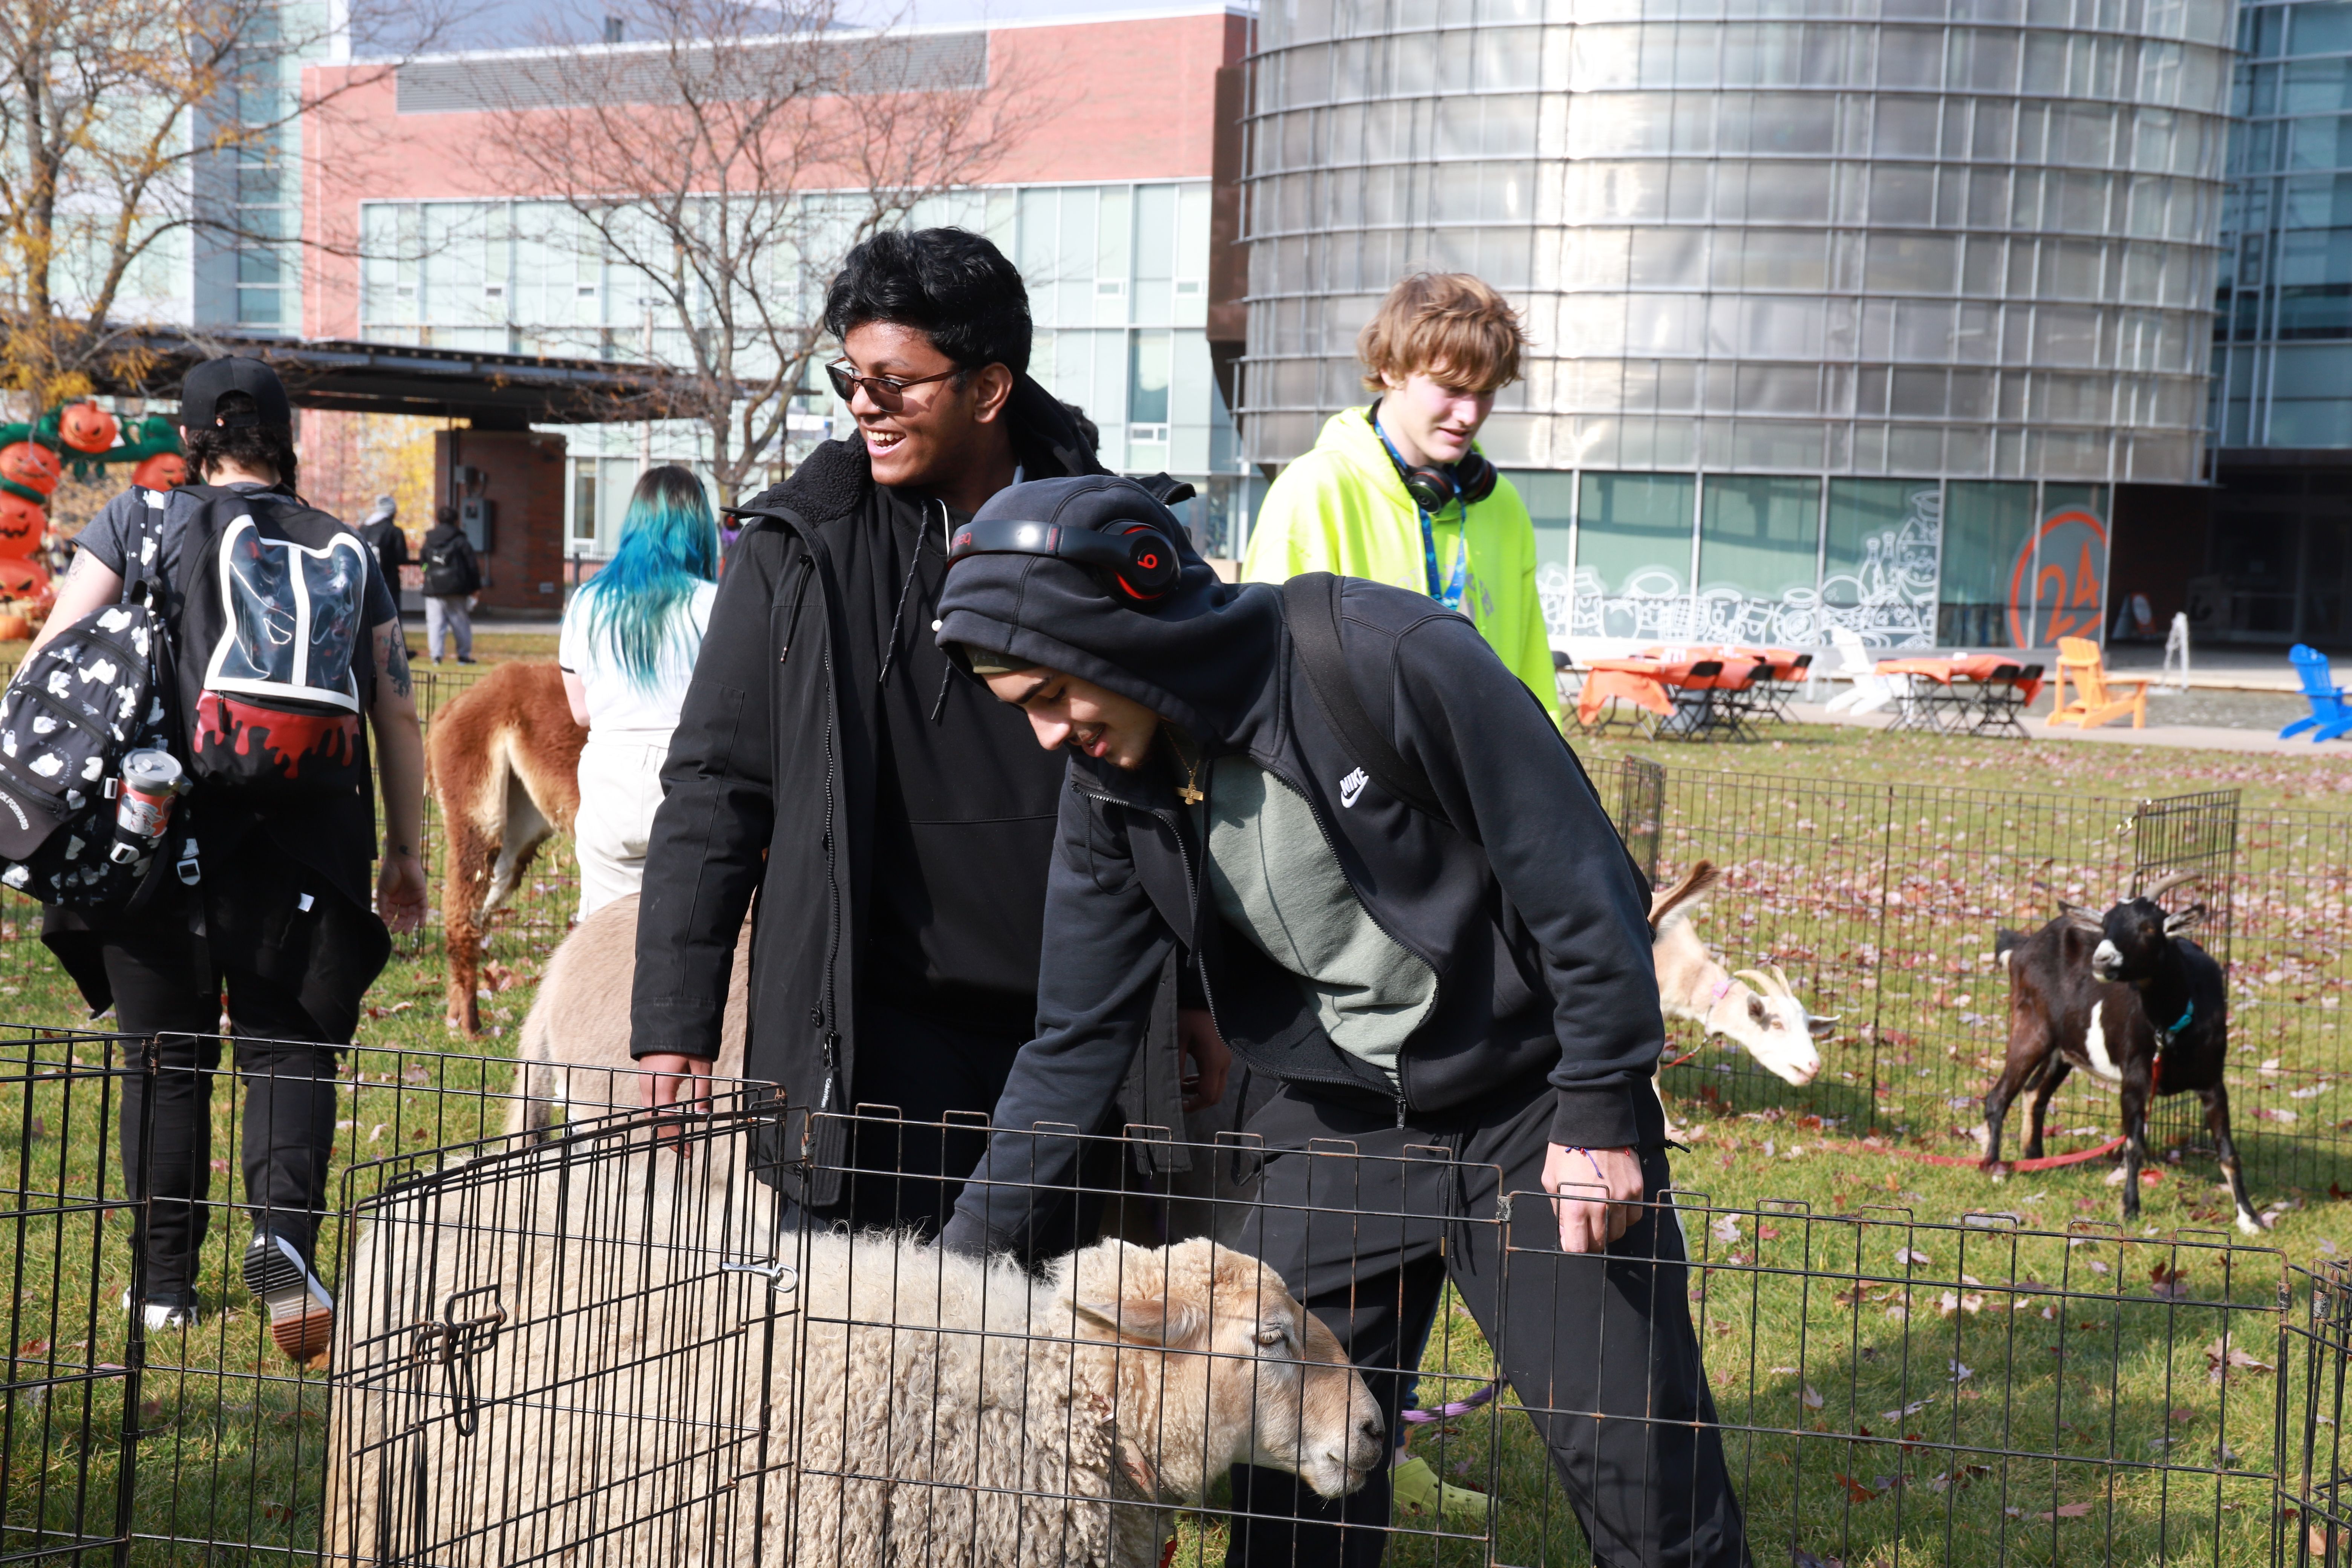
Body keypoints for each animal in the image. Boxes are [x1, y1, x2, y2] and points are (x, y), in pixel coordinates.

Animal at [425, 662, 585, 1036]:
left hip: (520, 823)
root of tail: (451, 706)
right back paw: (470, 1027)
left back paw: (455, 1015)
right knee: (461, 909)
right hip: (477, 803)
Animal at [1982, 870, 2257, 1233]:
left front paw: (2250, 1218)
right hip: (2031, 1027)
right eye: (2105, 924)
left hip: (2064, 1047)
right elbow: (2133, 1145)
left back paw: (2036, 1159)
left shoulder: (2212, 1080)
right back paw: (1993, 1168)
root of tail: (2023, 947)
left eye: (2150, 927)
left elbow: (2228, 1152)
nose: (2102, 960)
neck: (2170, 1024)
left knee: (2034, 1093)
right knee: (1998, 1097)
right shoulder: (2135, 1076)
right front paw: (2130, 1208)